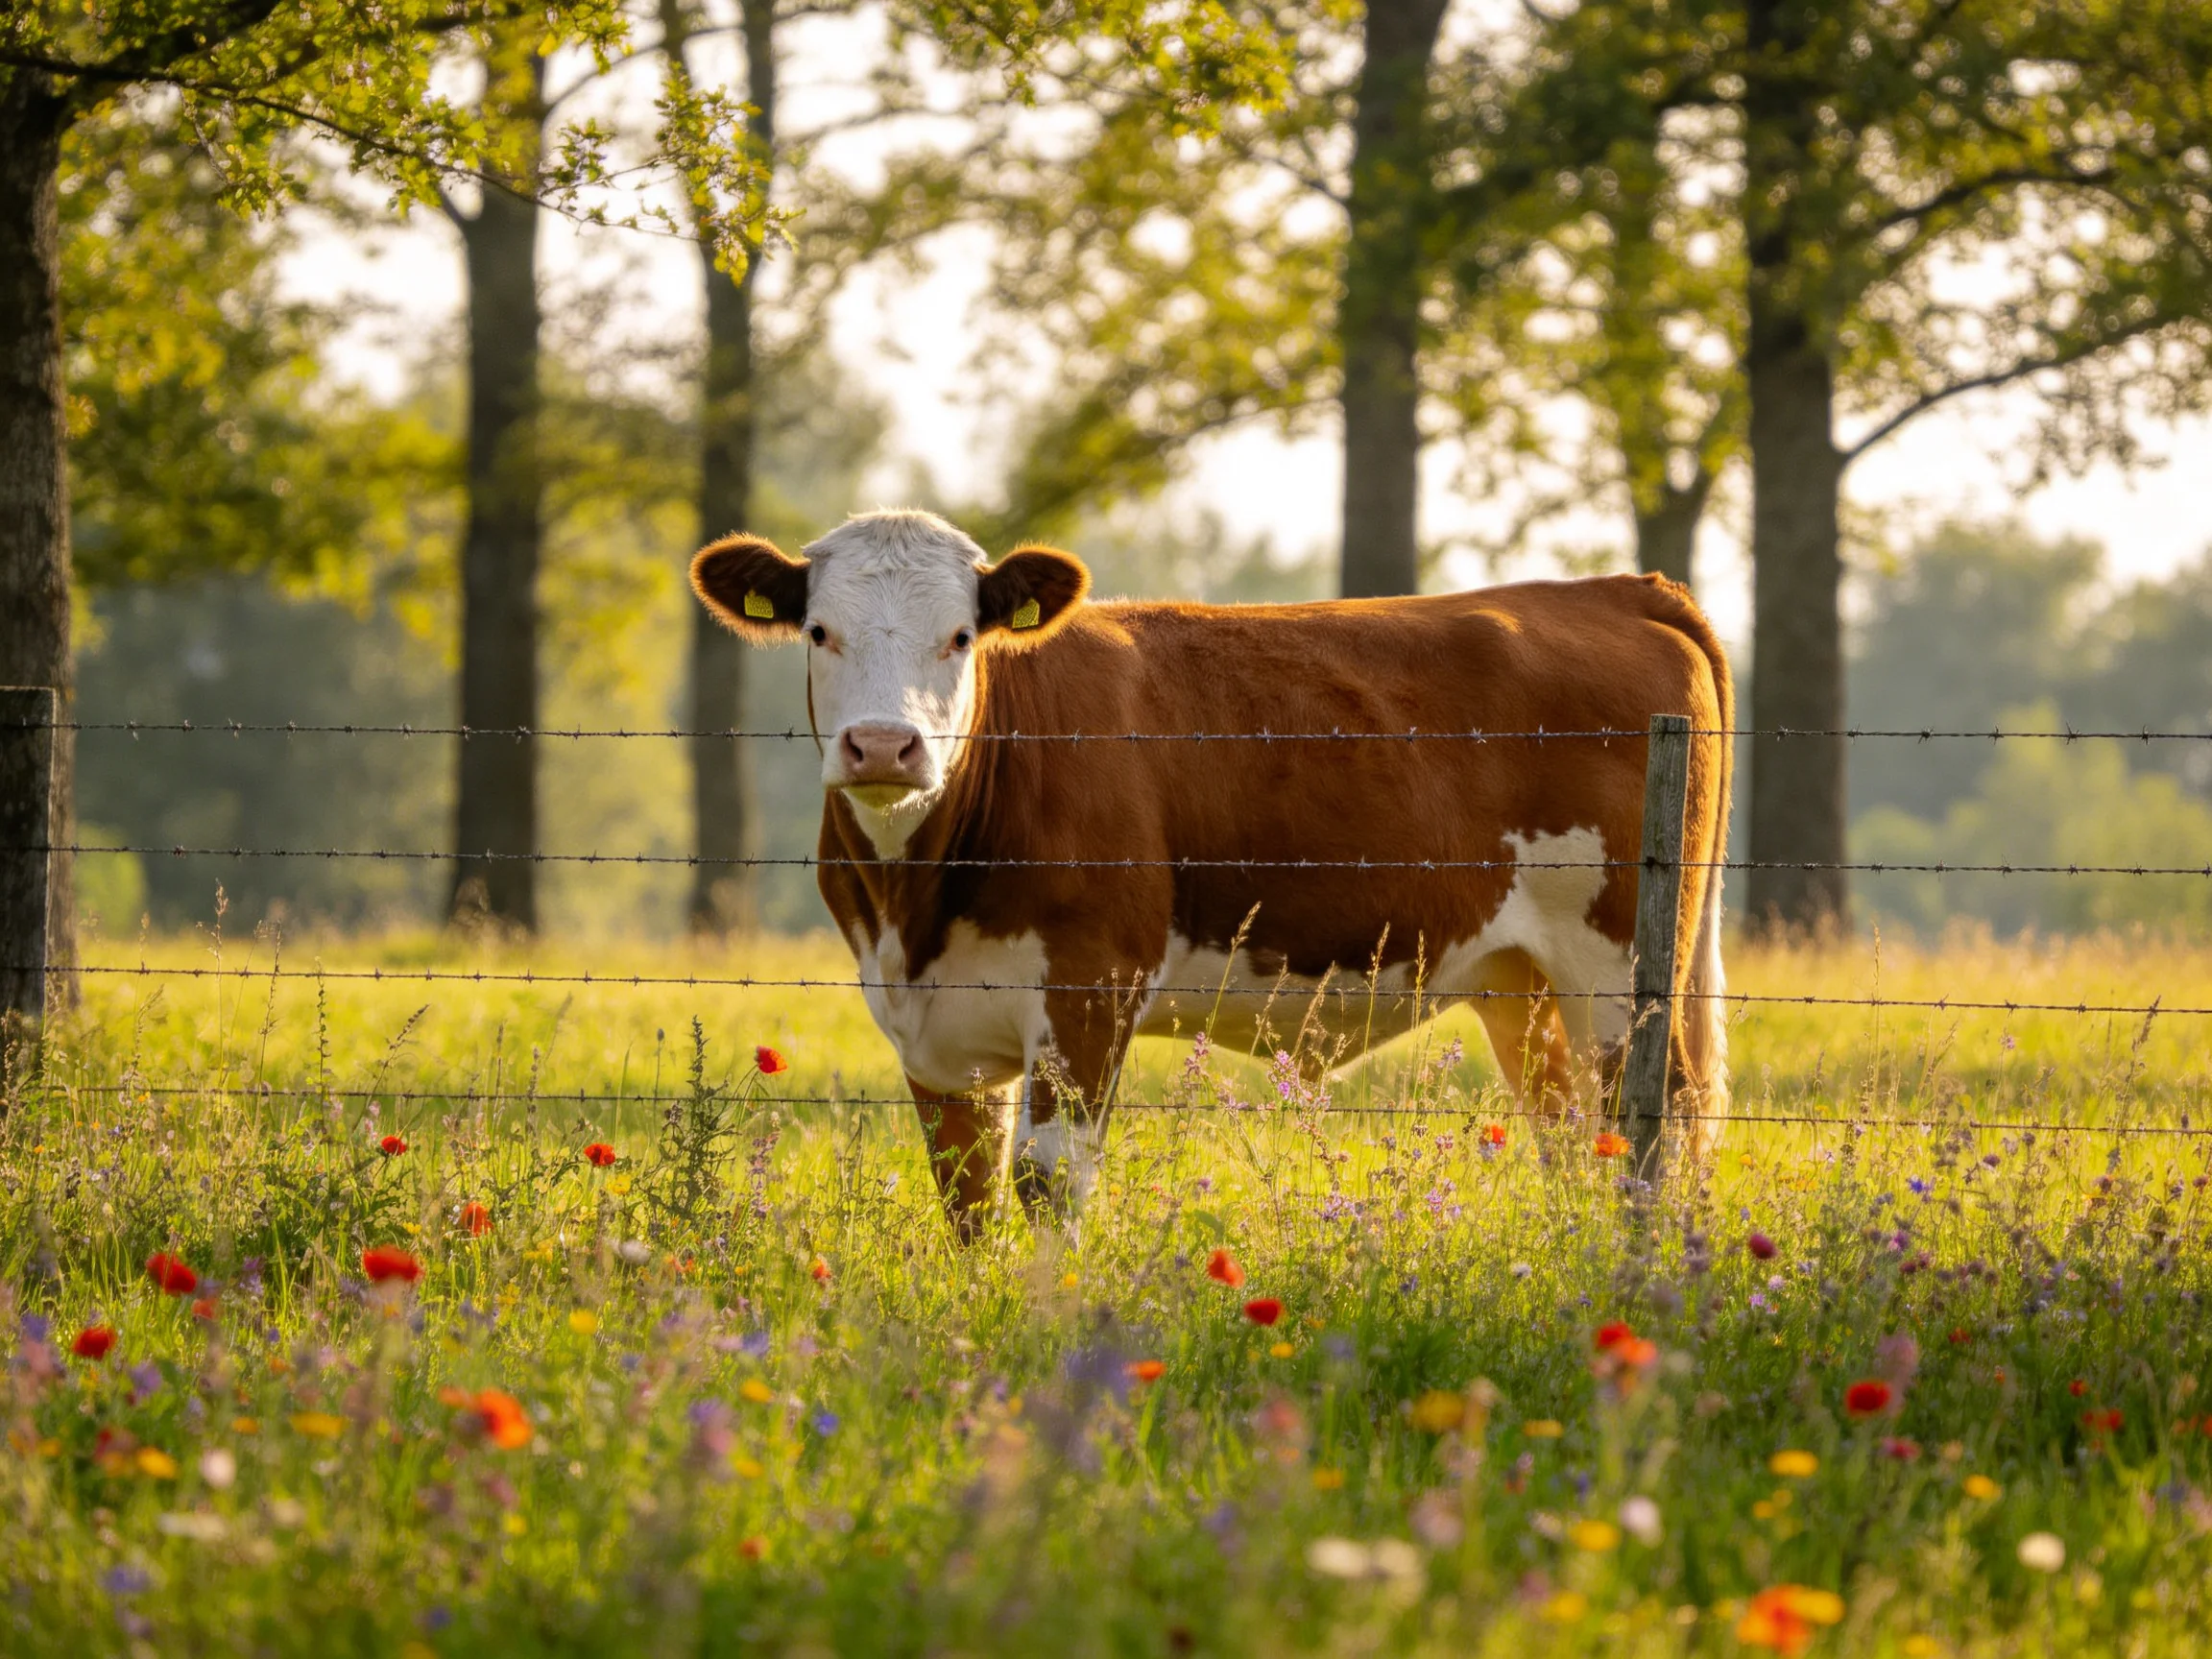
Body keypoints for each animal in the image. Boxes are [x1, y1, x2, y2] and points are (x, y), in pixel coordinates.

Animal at [691, 509, 1733, 1238]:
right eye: (819, 632)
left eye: (959, 637)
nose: (883, 745)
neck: (916, 902)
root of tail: (1615, 589)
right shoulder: (928, 1024)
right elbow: (966, 1191)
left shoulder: (1091, 985)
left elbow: (1047, 1177)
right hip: (1524, 982)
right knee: (1572, 1133)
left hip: (1622, 969)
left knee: (1657, 1124)